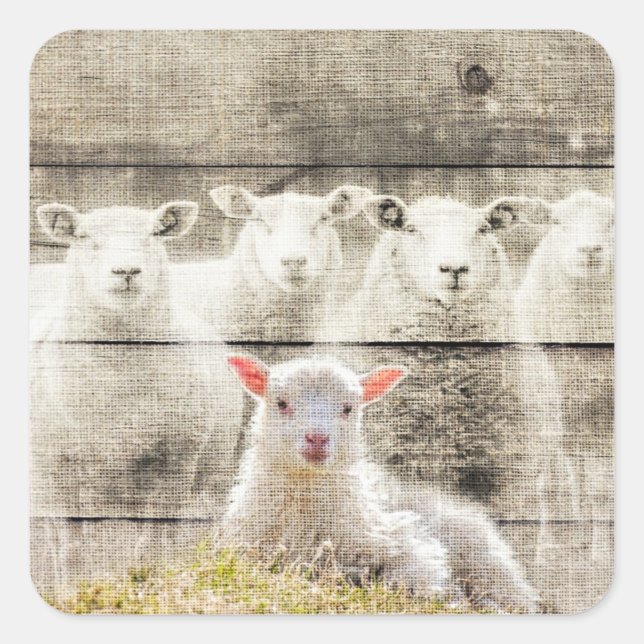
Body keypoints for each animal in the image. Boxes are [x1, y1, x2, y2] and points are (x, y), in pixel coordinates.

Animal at [31, 201, 244, 518]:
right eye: (83, 236)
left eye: (154, 234)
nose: (127, 270)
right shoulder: (55, 471)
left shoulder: (176, 464)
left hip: (211, 475)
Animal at [218, 354, 539, 612]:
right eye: (281, 403)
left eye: (348, 408)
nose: (317, 439)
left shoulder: (411, 546)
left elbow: (411, 580)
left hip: (486, 563)